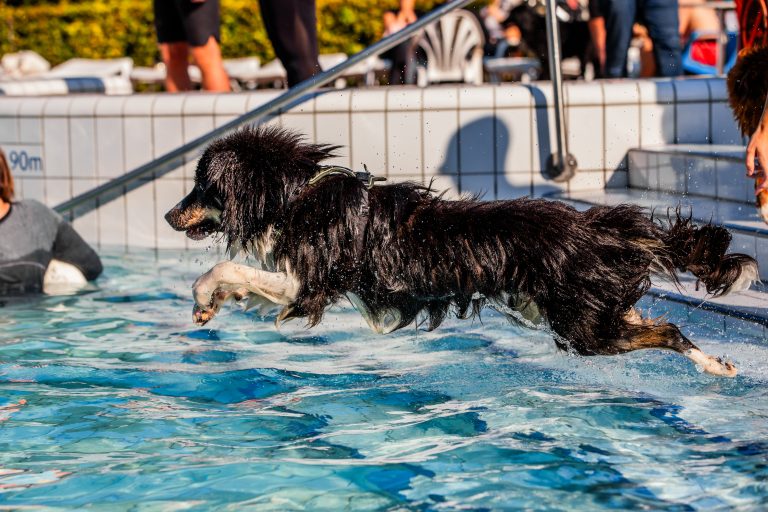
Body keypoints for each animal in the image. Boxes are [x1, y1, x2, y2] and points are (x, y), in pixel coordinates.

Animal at [165, 126, 760, 378]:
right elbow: (242, 279)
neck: (293, 194)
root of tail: (593, 227)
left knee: (664, 331)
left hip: (581, 328)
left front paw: (202, 298)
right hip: (590, 309)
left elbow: (226, 267)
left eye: (200, 187)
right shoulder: (298, 281)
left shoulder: (311, 283)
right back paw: (720, 363)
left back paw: (716, 367)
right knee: (663, 325)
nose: (170, 215)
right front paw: (214, 304)